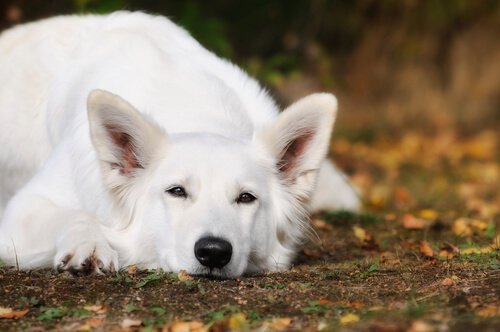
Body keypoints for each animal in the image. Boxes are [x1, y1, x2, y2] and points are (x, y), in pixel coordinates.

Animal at [0, 11, 360, 278]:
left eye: (246, 198)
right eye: (176, 191)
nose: (214, 252)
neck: (195, 111)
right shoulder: (22, 209)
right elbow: (74, 215)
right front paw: (90, 245)